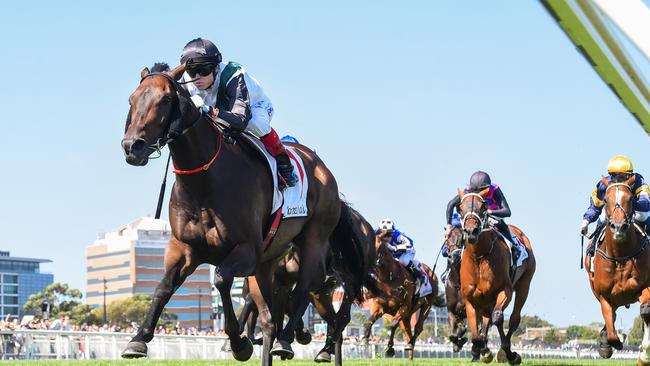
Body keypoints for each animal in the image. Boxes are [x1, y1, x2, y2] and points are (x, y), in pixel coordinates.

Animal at [119, 64, 368, 364]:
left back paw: (289, 340)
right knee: (271, 319)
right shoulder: (184, 249)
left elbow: (222, 280)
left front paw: (238, 343)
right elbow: (163, 287)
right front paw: (138, 339)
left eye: (165, 100)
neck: (204, 183)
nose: (132, 146)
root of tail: (323, 170)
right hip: (267, 262)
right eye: (132, 99)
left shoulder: (246, 250)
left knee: (304, 290)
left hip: (314, 241)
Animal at [362, 232, 442, 360]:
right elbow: (369, 321)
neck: (389, 278)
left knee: (418, 327)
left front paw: (390, 349)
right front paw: (365, 340)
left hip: (427, 305)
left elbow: (393, 325)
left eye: (381, 245)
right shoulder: (379, 306)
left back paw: (410, 345)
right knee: (408, 332)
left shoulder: (404, 306)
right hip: (408, 315)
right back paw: (410, 357)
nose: (376, 261)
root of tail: (431, 273)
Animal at [454, 189, 536, 366]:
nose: (471, 231)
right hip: (486, 298)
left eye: (483, 206)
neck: (479, 257)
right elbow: (476, 330)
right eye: (460, 208)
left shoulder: (505, 290)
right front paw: (483, 350)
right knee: (486, 319)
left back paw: (506, 353)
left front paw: (509, 353)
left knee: (513, 318)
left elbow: (498, 317)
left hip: (524, 285)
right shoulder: (470, 297)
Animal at [584, 175, 648, 364]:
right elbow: (612, 330)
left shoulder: (644, 288)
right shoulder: (604, 296)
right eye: (606, 199)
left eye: (631, 198)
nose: (618, 227)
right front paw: (608, 344)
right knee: (611, 317)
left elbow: (646, 310)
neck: (620, 256)